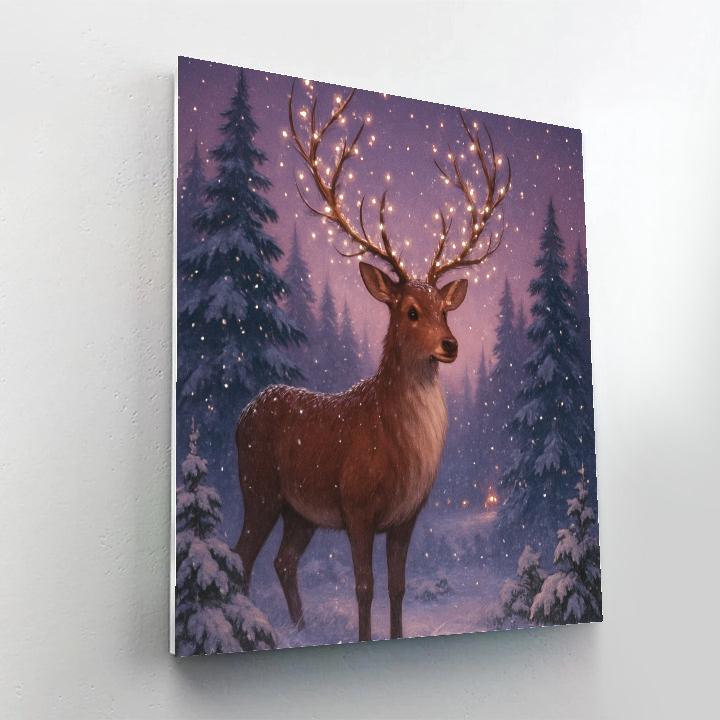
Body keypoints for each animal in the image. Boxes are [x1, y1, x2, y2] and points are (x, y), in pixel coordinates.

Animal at [233, 82, 511, 642]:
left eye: (446, 309)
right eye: (410, 310)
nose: (451, 345)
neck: (399, 448)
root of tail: (241, 415)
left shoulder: (406, 518)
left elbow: (397, 588)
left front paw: (397, 636)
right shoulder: (357, 506)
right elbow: (363, 588)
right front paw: (363, 639)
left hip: (300, 511)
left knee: (282, 561)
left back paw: (298, 630)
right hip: (259, 487)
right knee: (241, 554)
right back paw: (254, 625)